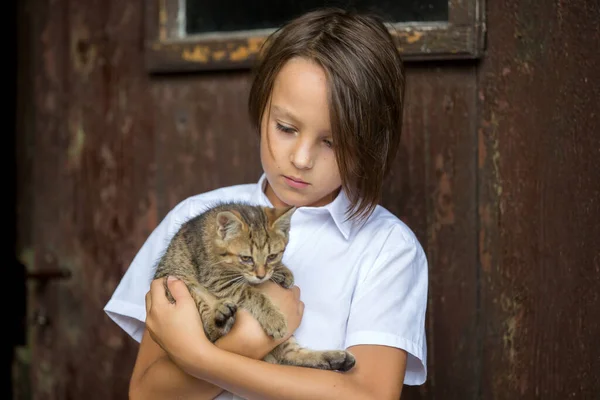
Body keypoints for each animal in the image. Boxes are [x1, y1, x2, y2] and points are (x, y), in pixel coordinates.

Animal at [154, 202, 356, 374]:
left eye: (272, 256)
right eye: (246, 258)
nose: (261, 275)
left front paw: (283, 272)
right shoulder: (218, 280)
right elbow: (253, 293)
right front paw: (274, 318)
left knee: (289, 356)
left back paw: (337, 359)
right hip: (180, 283)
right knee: (210, 334)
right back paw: (220, 318)